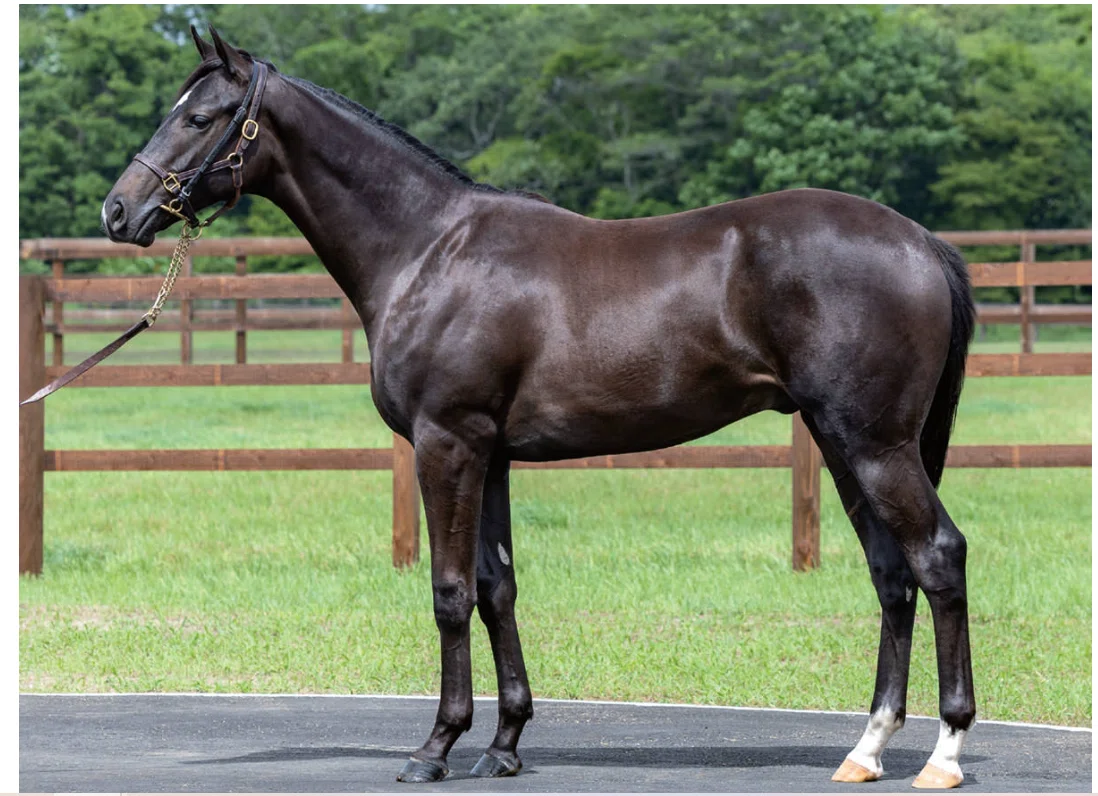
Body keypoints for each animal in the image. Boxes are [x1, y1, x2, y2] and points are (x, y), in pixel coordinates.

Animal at [102, 27, 977, 789]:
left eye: (199, 117)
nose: (118, 211)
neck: (429, 249)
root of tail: (923, 243)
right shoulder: (489, 454)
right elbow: (497, 588)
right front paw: (505, 745)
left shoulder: (446, 442)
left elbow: (450, 592)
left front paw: (435, 747)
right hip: (840, 443)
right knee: (892, 574)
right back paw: (866, 749)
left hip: (873, 444)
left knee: (938, 557)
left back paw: (944, 754)